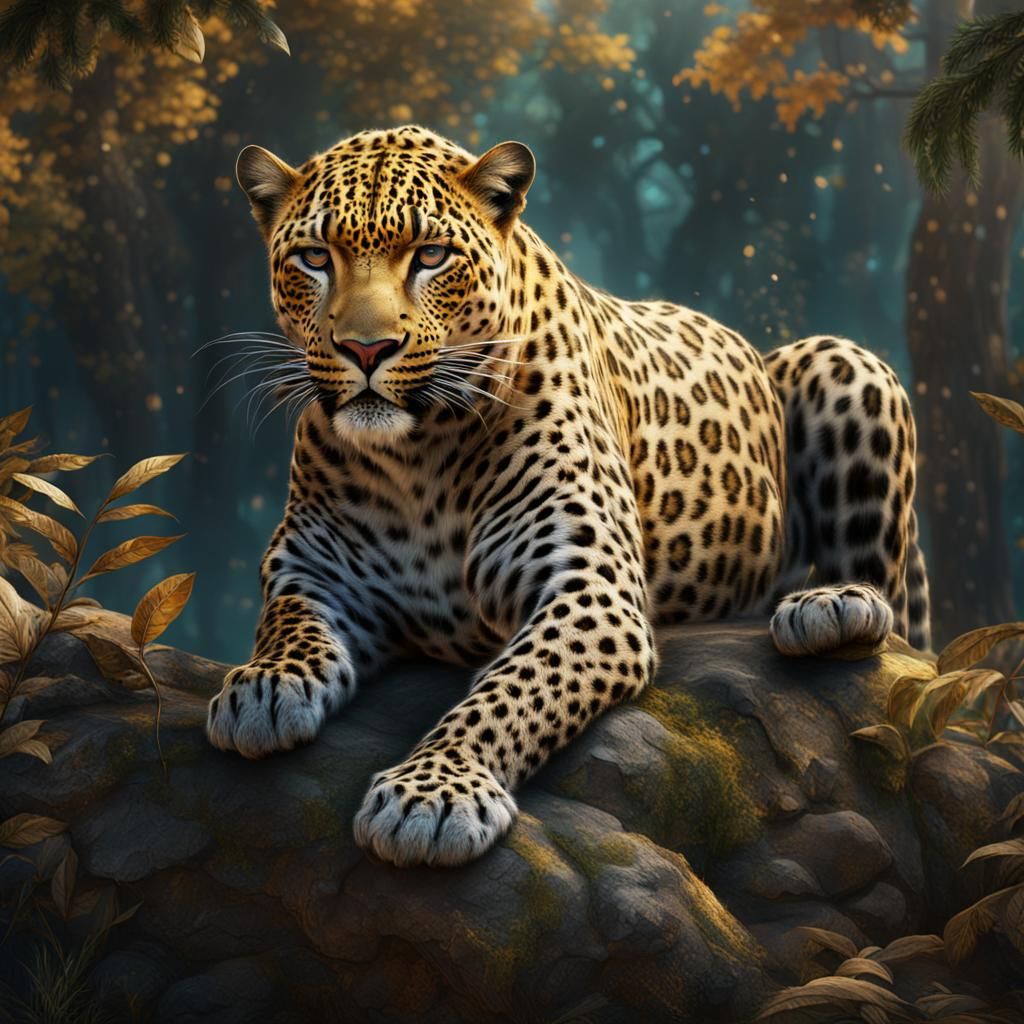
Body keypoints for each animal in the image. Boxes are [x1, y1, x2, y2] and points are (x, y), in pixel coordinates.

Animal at [207, 124, 931, 868]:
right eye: (315, 258)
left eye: (431, 255)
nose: (366, 349)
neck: (414, 460)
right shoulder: (310, 570)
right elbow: (288, 624)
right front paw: (263, 687)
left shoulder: (589, 590)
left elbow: (508, 691)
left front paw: (432, 793)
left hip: (846, 363)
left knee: (897, 622)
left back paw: (829, 607)